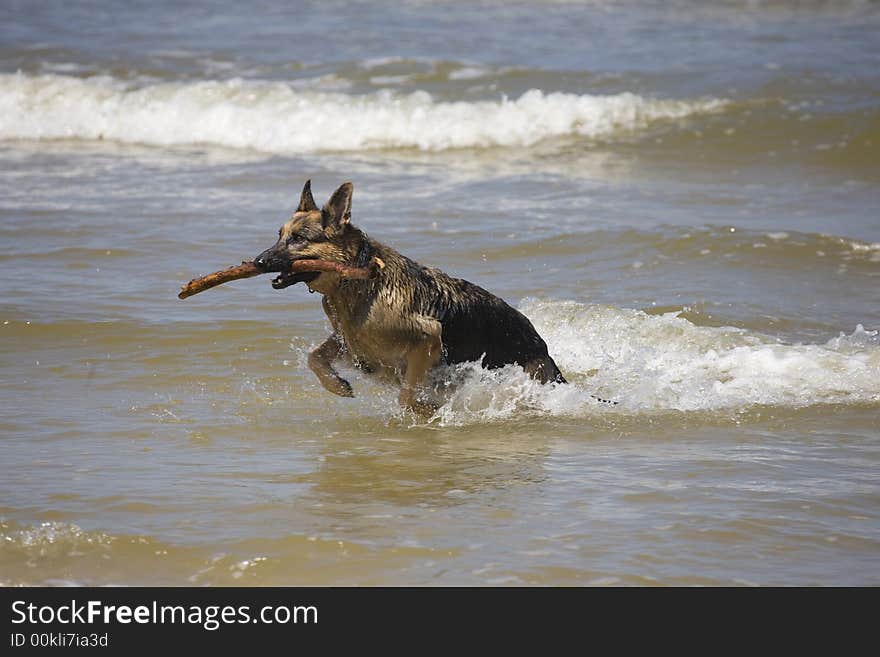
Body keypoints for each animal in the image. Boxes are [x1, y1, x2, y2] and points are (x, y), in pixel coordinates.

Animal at [254, 179, 564, 412]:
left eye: (298, 239)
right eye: (279, 235)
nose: (258, 261)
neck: (356, 279)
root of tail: (541, 344)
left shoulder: (427, 338)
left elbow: (406, 395)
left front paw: (426, 410)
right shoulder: (352, 347)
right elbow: (314, 356)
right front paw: (336, 385)